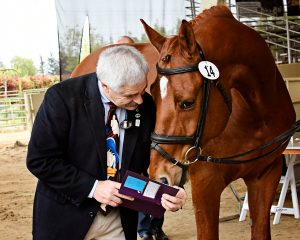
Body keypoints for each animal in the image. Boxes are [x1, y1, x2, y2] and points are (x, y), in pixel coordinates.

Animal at [71, 6, 298, 240]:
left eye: (187, 103)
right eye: (151, 95)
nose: (160, 177)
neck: (255, 115)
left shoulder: (266, 175)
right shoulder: (206, 183)